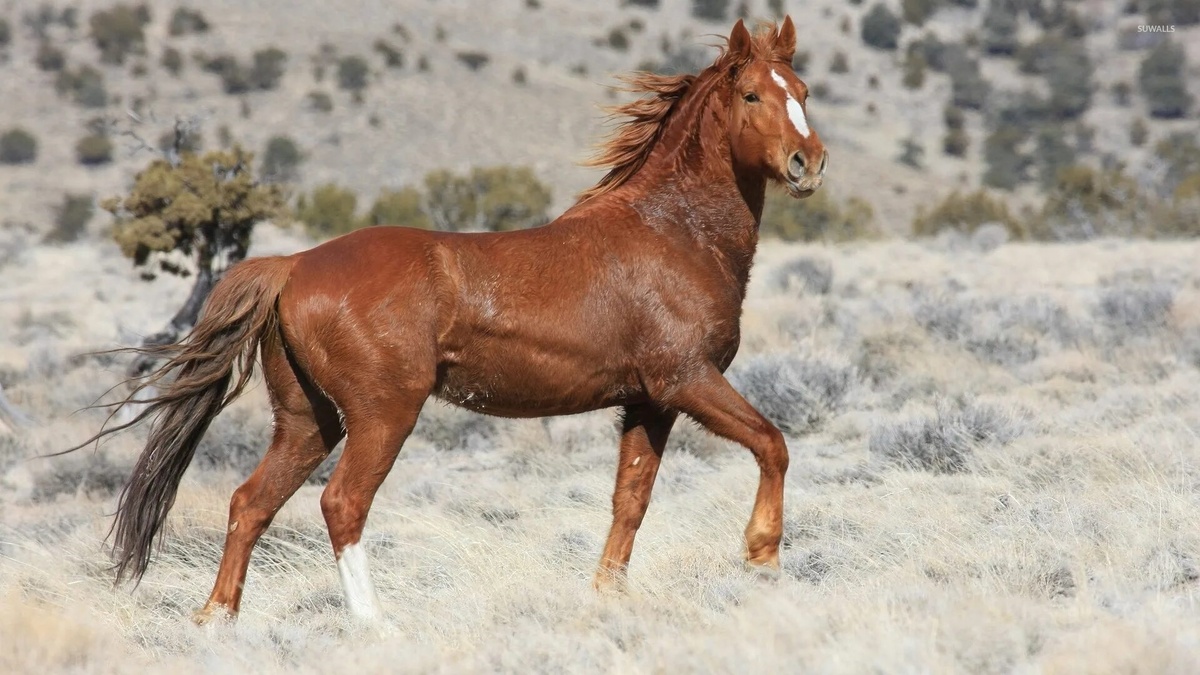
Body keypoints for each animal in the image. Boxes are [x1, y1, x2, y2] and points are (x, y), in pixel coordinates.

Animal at [81, 17, 827, 624]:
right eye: (752, 95)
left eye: (804, 89)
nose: (809, 162)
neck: (672, 233)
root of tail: (292, 265)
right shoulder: (687, 380)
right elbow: (773, 443)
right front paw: (762, 558)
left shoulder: (649, 402)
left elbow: (630, 501)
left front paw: (607, 596)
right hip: (382, 414)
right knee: (341, 504)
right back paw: (373, 623)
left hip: (307, 420)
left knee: (249, 502)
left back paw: (217, 619)